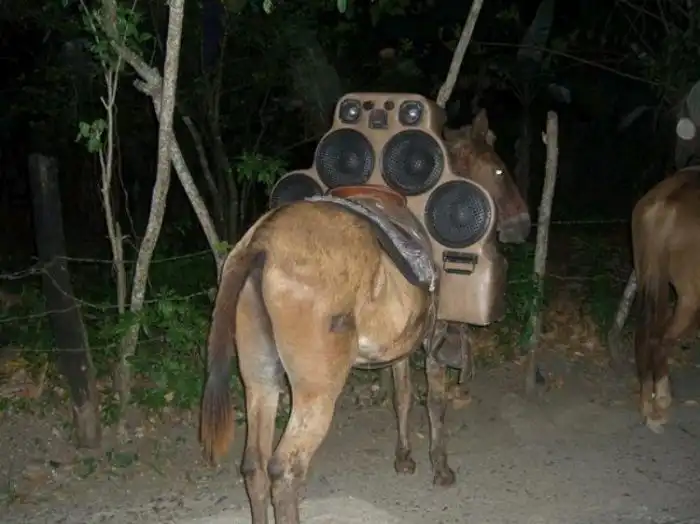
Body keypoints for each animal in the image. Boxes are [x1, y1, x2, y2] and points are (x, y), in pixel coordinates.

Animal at [631, 166, 700, 433]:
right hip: (690, 296)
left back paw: (649, 400)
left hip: (649, 278)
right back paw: (659, 400)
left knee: (648, 335)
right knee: (661, 339)